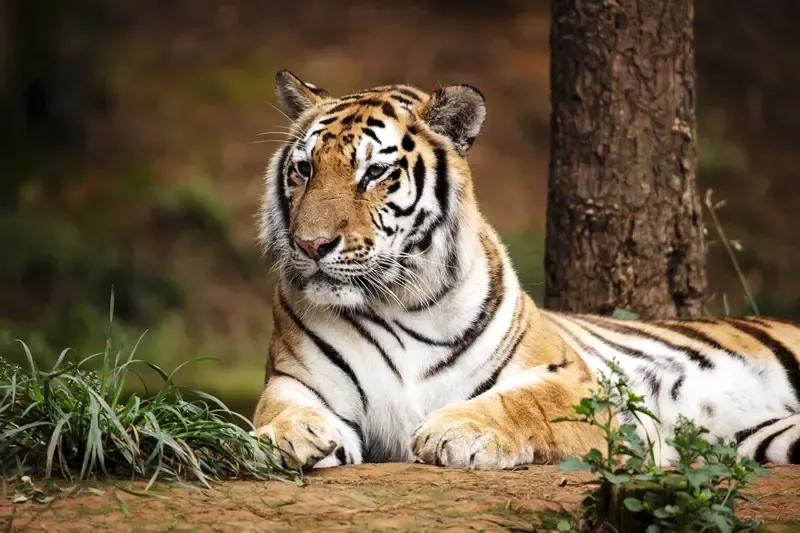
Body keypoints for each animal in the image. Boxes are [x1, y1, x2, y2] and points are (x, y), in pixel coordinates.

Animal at [252, 70, 800, 469]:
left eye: (375, 173)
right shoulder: (294, 378)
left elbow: (522, 402)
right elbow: (282, 407)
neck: (397, 301)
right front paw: (288, 435)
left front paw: (456, 430)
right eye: (304, 169)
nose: (311, 244)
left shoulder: (577, 382)